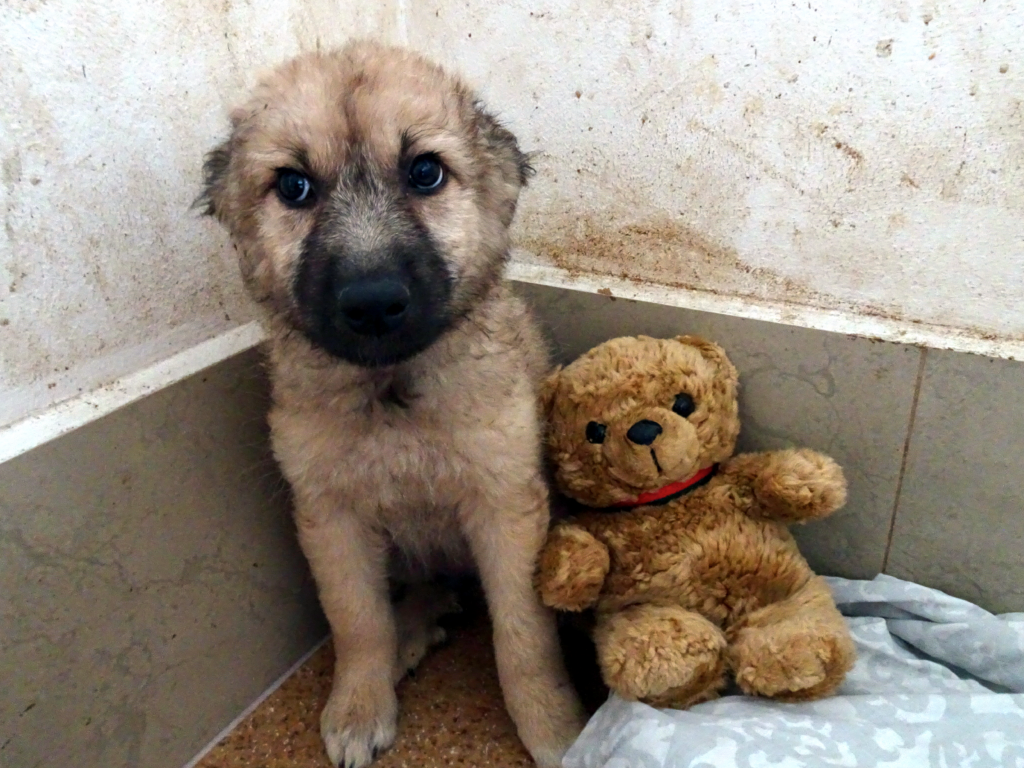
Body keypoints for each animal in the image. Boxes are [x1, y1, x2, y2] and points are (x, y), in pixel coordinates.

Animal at [199, 40, 585, 768]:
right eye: (294, 186)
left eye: (424, 173)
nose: (373, 302)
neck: (393, 394)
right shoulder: (331, 517)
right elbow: (357, 620)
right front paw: (360, 703)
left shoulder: (506, 508)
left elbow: (523, 637)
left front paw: (555, 727)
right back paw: (410, 635)